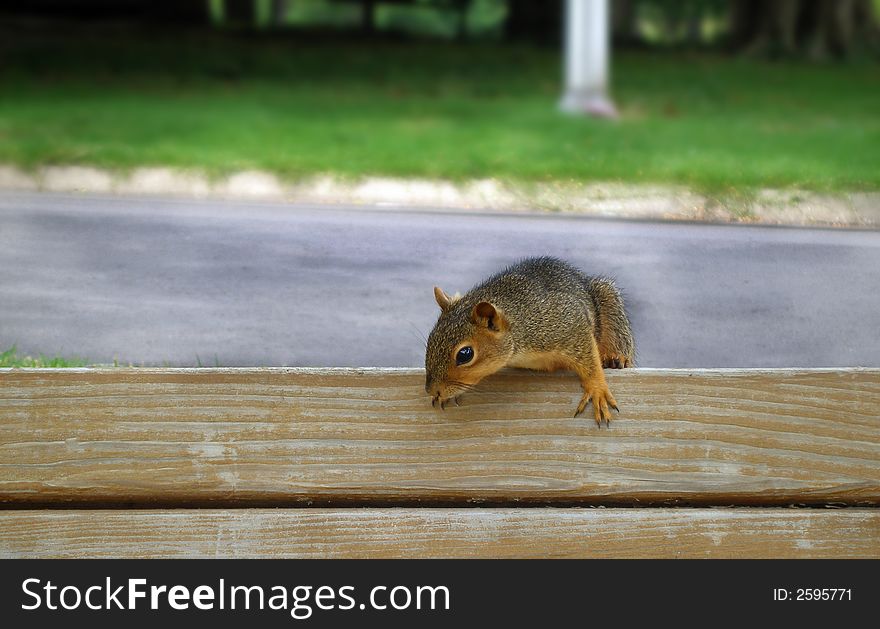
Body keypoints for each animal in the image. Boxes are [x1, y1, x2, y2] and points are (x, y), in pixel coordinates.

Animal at [424, 256, 632, 426]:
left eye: (465, 355)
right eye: (430, 339)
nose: (432, 390)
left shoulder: (567, 322)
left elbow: (589, 360)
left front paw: (597, 388)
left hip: (609, 302)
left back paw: (617, 358)